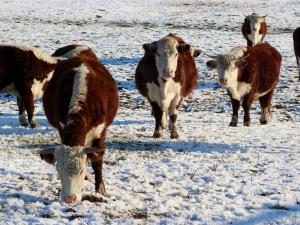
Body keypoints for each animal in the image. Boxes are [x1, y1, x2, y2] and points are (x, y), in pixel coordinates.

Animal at [35, 47, 118, 204]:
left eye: (81, 170)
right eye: (58, 170)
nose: (69, 199)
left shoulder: (101, 132)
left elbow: (98, 161)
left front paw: (101, 190)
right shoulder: (62, 128)